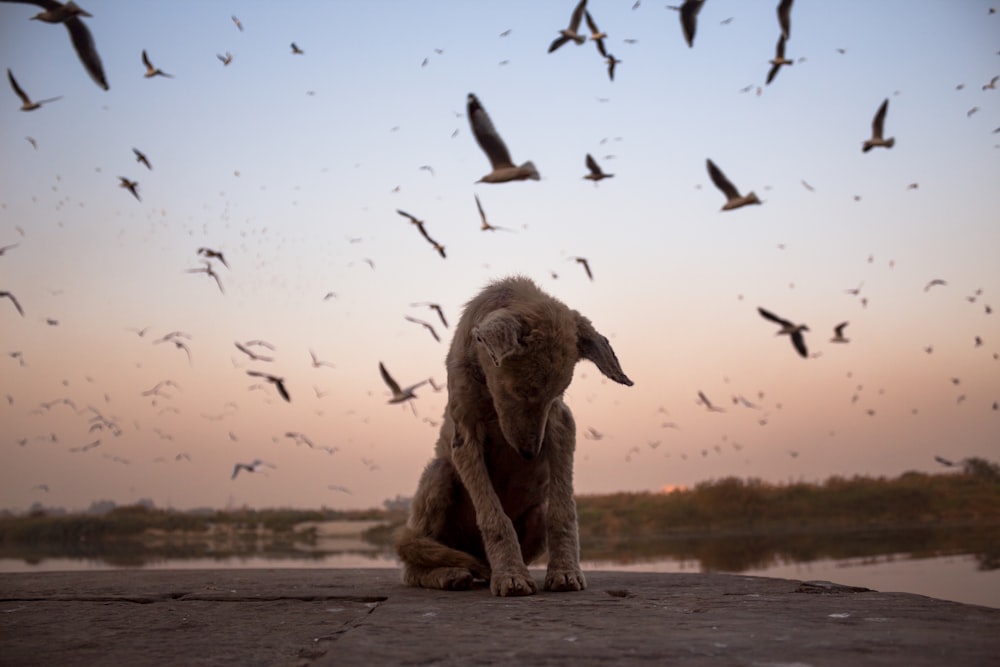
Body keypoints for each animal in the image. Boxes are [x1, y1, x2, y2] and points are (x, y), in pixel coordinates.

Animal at [392, 274, 632, 596]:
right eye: (520, 391)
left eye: (556, 394)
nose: (530, 453)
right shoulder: (465, 435)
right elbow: (494, 517)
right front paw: (511, 575)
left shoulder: (561, 424)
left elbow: (563, 510)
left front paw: (565, 571)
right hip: (439, 473)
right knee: (415, 561)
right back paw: (450, 574)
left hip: (536, 511)